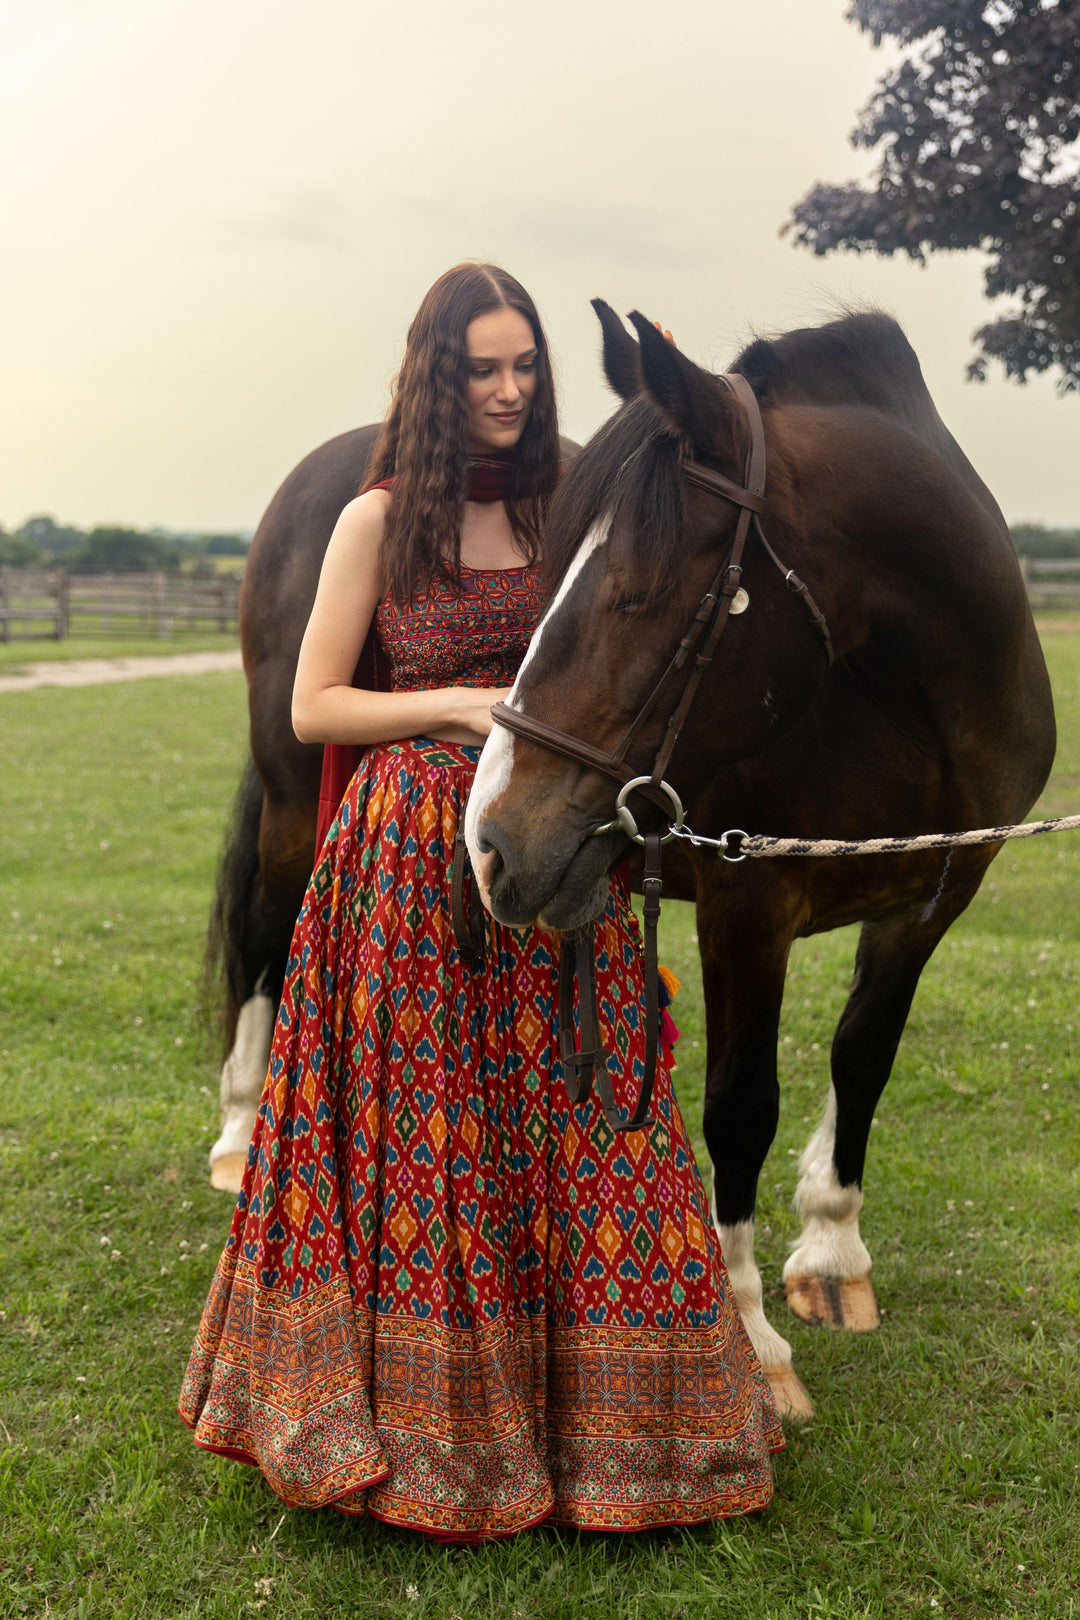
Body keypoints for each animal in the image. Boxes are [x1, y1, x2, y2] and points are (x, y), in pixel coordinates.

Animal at [466, 306, 1055, 1419]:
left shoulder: (936, 894)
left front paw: (831, 1251)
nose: (493, 838)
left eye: (640, 594)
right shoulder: (748, 902)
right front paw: (751, 1343)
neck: (907, 705)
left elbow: (863, 1055)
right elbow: (740, 1110)